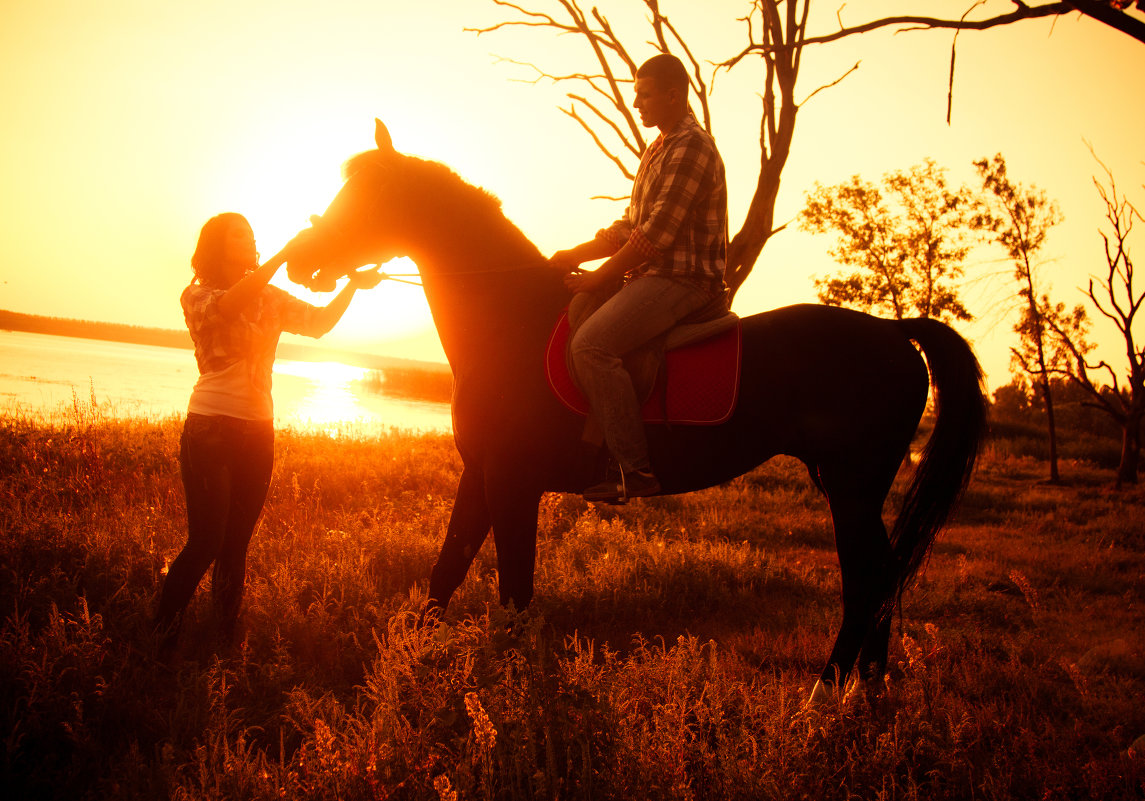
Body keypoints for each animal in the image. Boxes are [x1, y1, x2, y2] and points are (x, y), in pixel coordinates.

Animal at [283, 117, 984, 700]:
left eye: (370, 196)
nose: (300, 260)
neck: (510, 323)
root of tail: (892, 331)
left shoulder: (513, 484)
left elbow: (514, 589)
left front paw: (512, 689)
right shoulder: (479, 475)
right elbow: (446, 570)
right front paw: (411, 667)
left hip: (852, 487)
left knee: (869, 580)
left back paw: (830, 689)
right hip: (854, 488)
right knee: (882, 577)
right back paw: (867, 687)